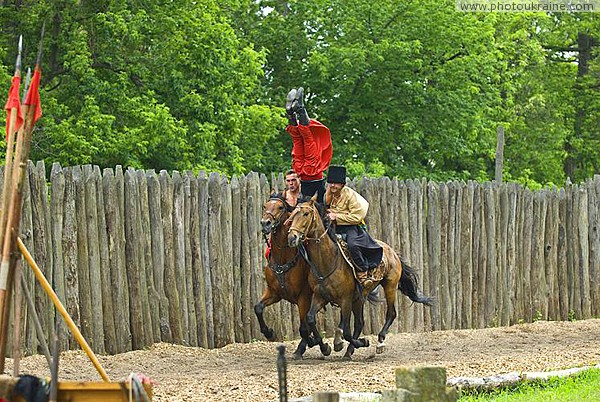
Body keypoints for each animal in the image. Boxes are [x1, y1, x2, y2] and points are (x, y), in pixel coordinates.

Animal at [252, 193, 330, 360]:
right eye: (265, 206)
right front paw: (269, 333)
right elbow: (258, 308)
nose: (265, 223)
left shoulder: (303, 297)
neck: (283, 258)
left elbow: (303, 328)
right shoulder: (274, 293)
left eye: (280, 207)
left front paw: (318, 344)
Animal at [286, 196, 432, 356]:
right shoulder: (320, 296)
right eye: (292, 214)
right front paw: (325, 346)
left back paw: (379, 342)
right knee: (360, 323)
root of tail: (393, 252)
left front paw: (361, 342)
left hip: (390, 286)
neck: (327, 261)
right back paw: (348, 352)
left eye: (306, 214)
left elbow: (347, 331)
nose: (292, 237)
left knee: (391, 313)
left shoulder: (345, 299)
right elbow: (311, 319)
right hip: (360, 297)